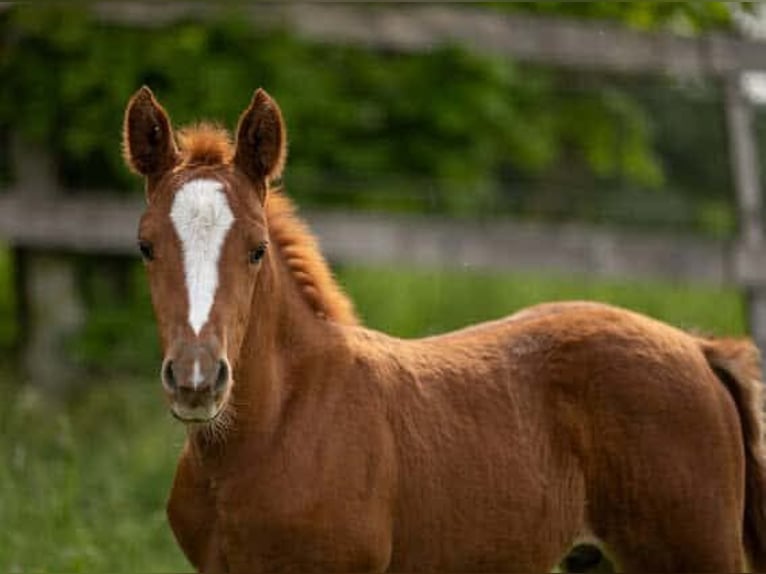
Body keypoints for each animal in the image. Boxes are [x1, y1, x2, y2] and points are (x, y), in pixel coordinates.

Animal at [123, 88, 766, 572]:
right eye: (146, 246)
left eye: (257, 249)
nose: (197, 380)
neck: (271, 431)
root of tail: (699, 348)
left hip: (695, 556)